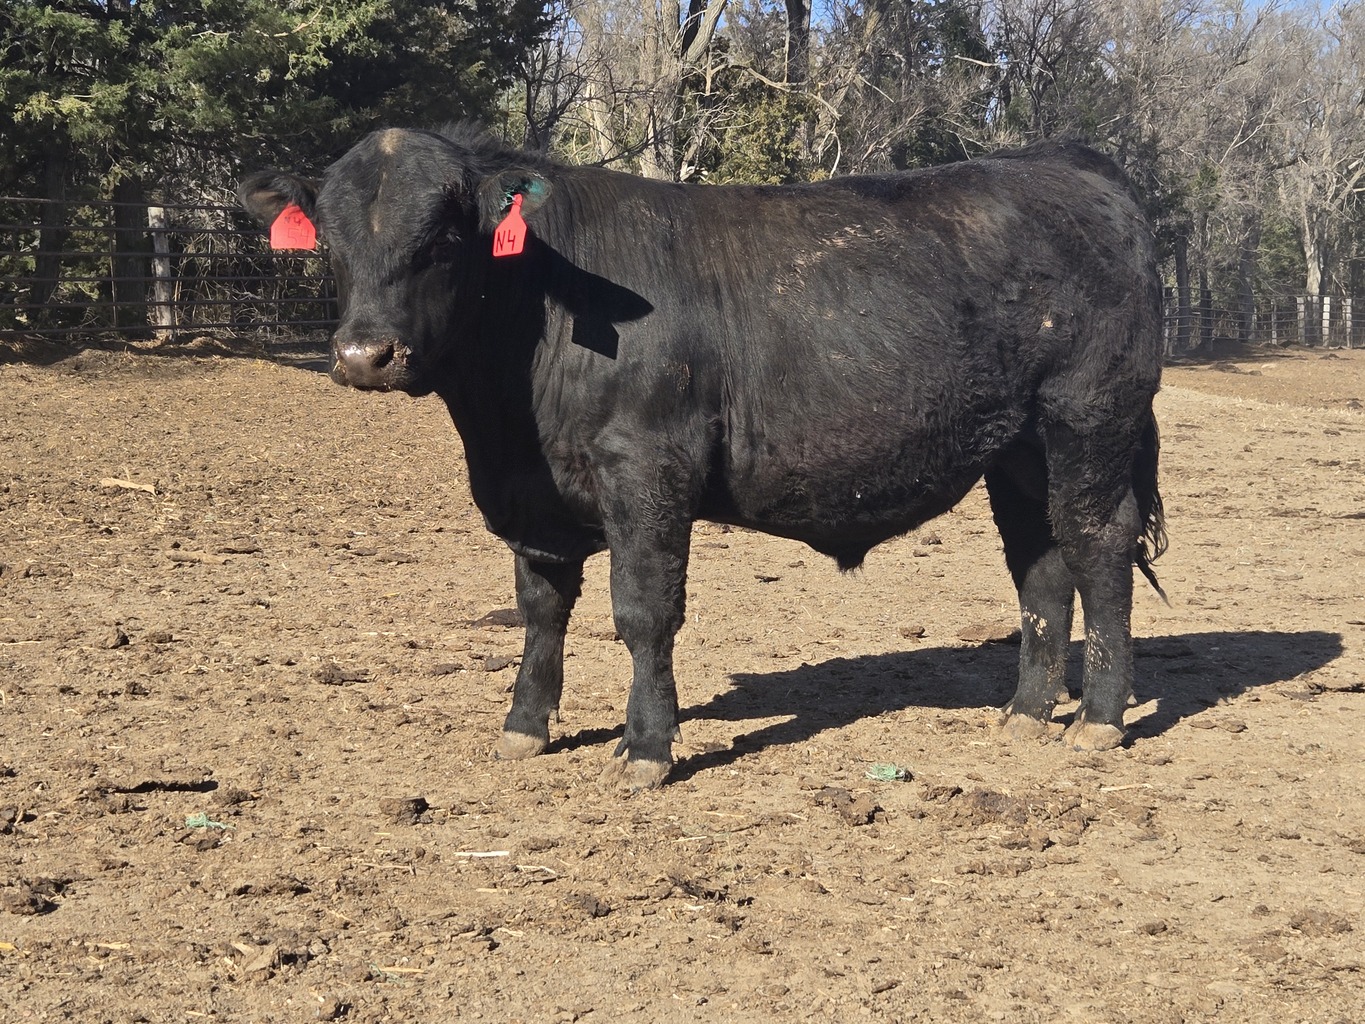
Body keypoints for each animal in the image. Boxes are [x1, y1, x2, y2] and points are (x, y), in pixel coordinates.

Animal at [239, 125, 1166, 791]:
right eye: (329, 242)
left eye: (442, 239)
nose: (366, 355)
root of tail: (1062, 161)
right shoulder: (528, 496)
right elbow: (541, 609)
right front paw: (524, 729)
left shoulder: (647, 470)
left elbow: (643, 612)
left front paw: (646, 748)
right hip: (1018, 449)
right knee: (1040, 565)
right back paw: (1025, 711)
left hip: (1087, 418)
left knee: (1097, 546)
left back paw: (1097, 721)